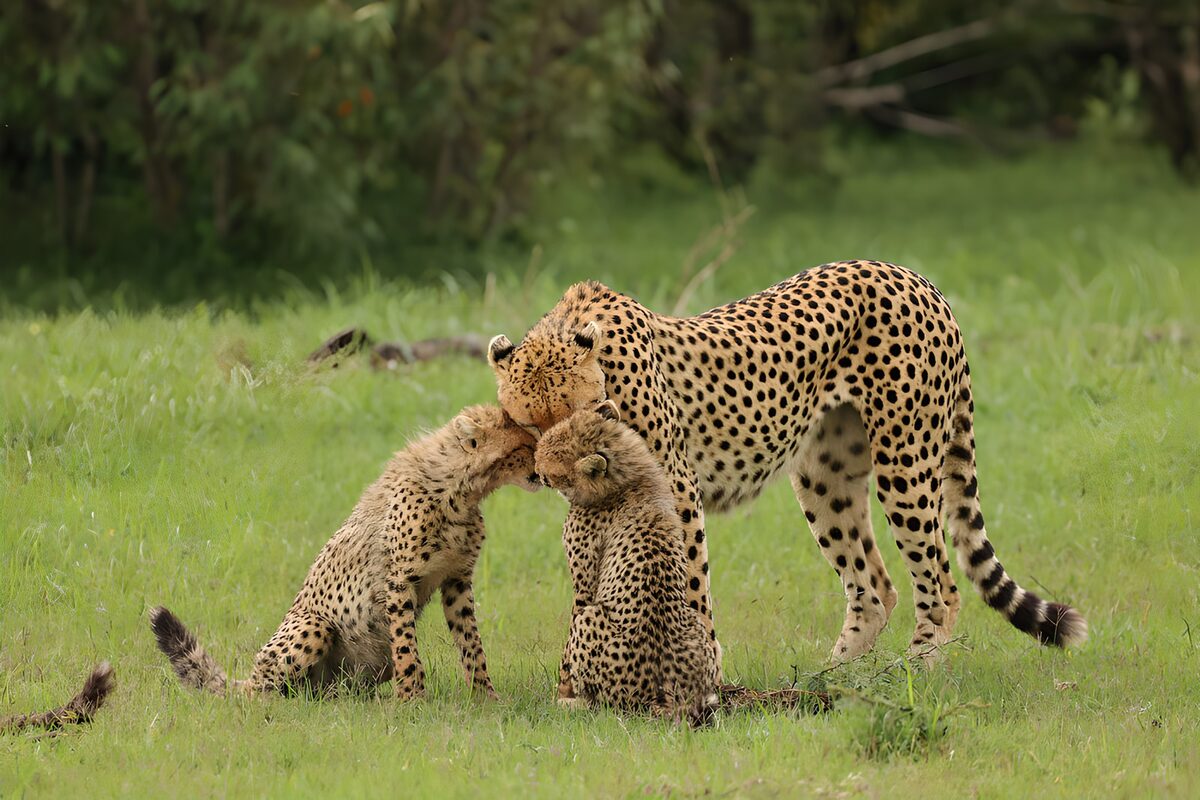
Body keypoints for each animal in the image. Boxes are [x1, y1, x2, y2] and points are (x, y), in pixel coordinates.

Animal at [150, 405, 539, 700]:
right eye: (523, 447)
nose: (541, 471)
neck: (461, 489)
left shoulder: (457, 581)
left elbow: (471, 642)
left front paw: (485, 696)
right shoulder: (398, 581)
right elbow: (407, 649)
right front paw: (412, 700)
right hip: (313, 626)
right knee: (262, 693)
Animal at [488, 260, 1087, 663]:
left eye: (576, 415)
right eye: (530, 424)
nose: (550, 475)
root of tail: (913, 275)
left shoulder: (678, 489)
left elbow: (690, 585)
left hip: (906, 461)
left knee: (939, 582)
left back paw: (916, 670)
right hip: (824, 476)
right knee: (874, 587)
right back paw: (836, 681)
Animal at [535, 401, 719, 725]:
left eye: (548, 465)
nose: (534, 470)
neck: (627, 478)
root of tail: (658, 697)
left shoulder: (584, 586)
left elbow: (570, 638)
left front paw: (563, 689)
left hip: (592, 618)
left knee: (601, 704)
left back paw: (573, 702)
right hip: (695, 622)